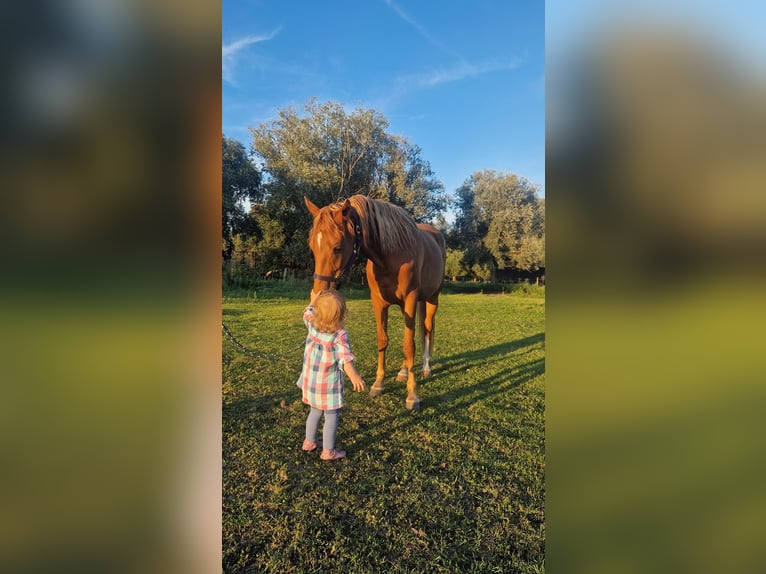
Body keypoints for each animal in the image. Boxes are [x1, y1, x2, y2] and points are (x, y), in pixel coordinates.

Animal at [304, 196, 448, 412]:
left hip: (432, 299)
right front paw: (378, 384)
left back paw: (425, 367)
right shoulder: (379, 302)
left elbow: (409, 344)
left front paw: (412, 395)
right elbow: (384, 340)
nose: (318, 295)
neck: (391, 253)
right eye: (312, 246)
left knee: (427, 329)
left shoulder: (411, 299)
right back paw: (403, 371)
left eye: (337, 247)